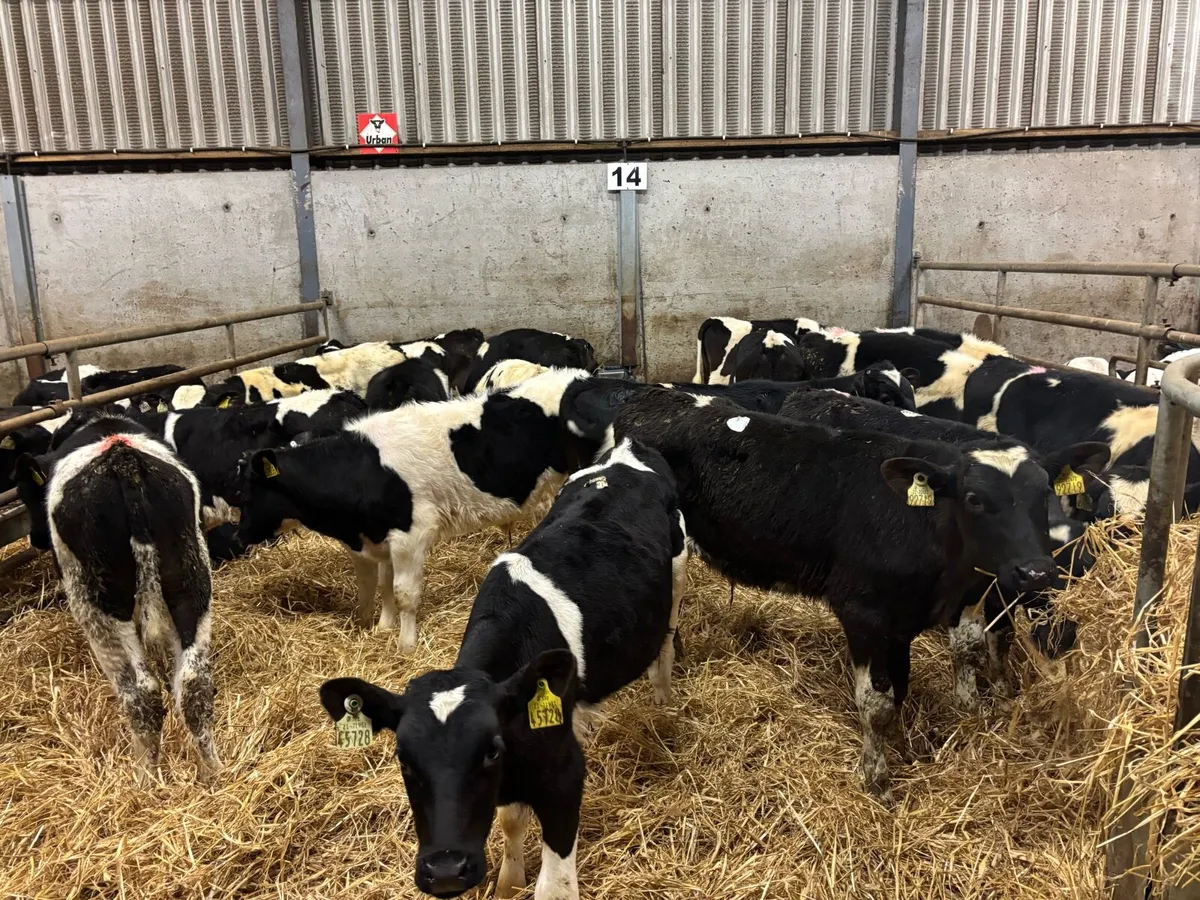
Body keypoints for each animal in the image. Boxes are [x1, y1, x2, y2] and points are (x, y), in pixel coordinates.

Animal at [12, 414, 220, 782]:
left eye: (27, 494)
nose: (35, 539)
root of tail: (123, 460)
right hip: (193, 581)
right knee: (194, 683)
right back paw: (214, 772)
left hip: (98, 603)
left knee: (142, 693)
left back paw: (145, 778)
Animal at [236, 368, 603, 650]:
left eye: (246, 493)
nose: (239, 536)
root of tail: (579, 377)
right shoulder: (378, 537)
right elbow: (382, 586)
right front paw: (383, 627)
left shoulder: (410, 535)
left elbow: (404, 593)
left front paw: (406, 645)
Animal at [319, 437, 686, 900]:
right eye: (403, 759)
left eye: (490, 750)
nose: (445, 870)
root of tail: (628, 446)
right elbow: (512, 821)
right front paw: (510, 881)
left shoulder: (564, 775)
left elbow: (555, 885)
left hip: (677, 575)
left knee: (666, 643)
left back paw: (662, 700)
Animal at [609, 387, 1107, 801]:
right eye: (974, 498)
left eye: (1044, 492)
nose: (1035, 570)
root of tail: (651, 396)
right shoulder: (863, 613)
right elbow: (876, 702)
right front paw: (878, 778)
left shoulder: (924, 613)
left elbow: (911, 681)